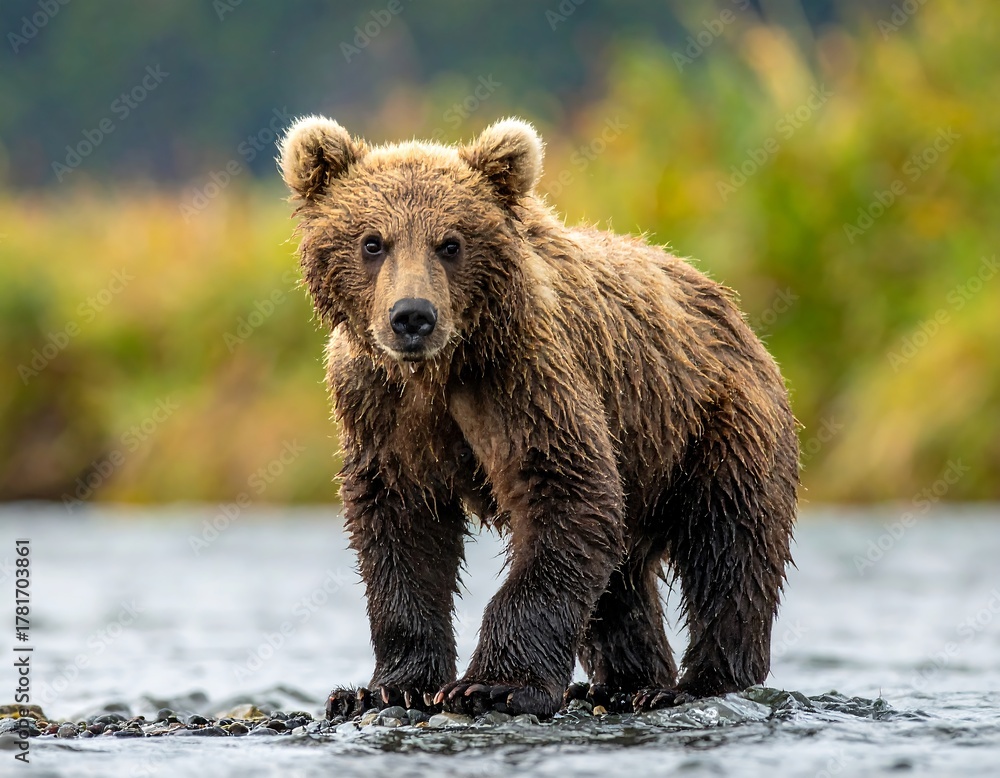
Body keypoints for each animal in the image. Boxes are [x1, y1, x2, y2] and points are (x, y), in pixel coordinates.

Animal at [278, 116, 798, 719]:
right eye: (372, 242)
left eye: (450, 243)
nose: (412, 316)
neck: (440, 371)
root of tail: (732, 311)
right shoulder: (381, 408)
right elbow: (402, 529)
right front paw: (385, 686)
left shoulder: (525, 381)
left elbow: (566, 495)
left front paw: (491, 685)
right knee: (621, 576)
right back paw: (623, 684)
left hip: (715, 423)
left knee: (729, 548)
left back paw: (697, 683)